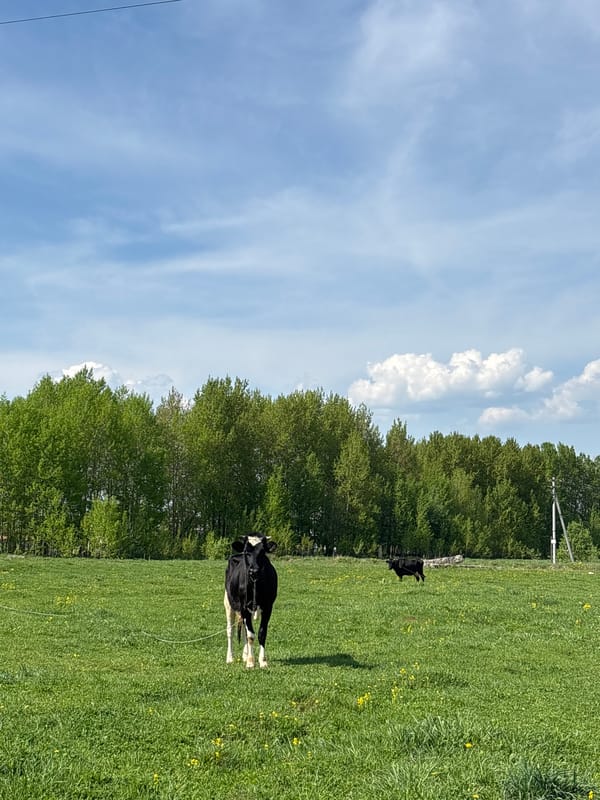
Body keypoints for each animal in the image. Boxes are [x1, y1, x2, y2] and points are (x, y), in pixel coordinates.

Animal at [224, 533, 278, 668]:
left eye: (263, 552)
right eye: (246, 552)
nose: (254, 571)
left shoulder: (268, 606)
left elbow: (261, 633)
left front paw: (262, 661)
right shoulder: (244, 607)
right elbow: (250, 635)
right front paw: (250, 661)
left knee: (243, 629)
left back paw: (244, 654)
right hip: (228, 603)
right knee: (230, 630)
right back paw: (230, 657)